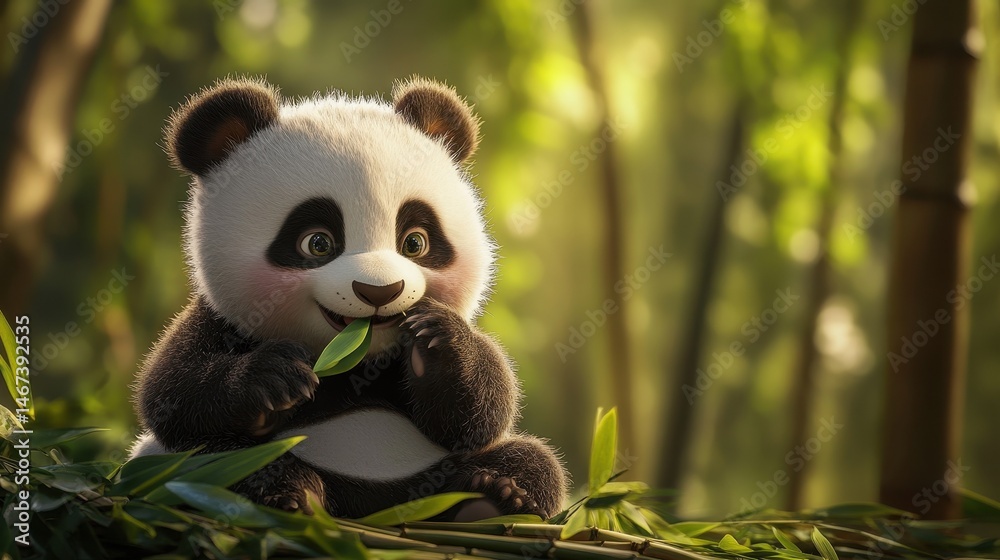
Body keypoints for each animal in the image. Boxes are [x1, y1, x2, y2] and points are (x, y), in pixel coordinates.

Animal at [130, 76, 568, 520]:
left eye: (415, 242)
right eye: (318, 243)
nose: (380, 291)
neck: (354, 363)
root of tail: (372, 511)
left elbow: (478, 416)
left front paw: (437, 338)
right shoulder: (219, 321)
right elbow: (171, 394)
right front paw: (277, 379)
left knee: (534, 460)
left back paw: (491, 497)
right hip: (178, 469)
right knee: (216, 461)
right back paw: (292, 493)